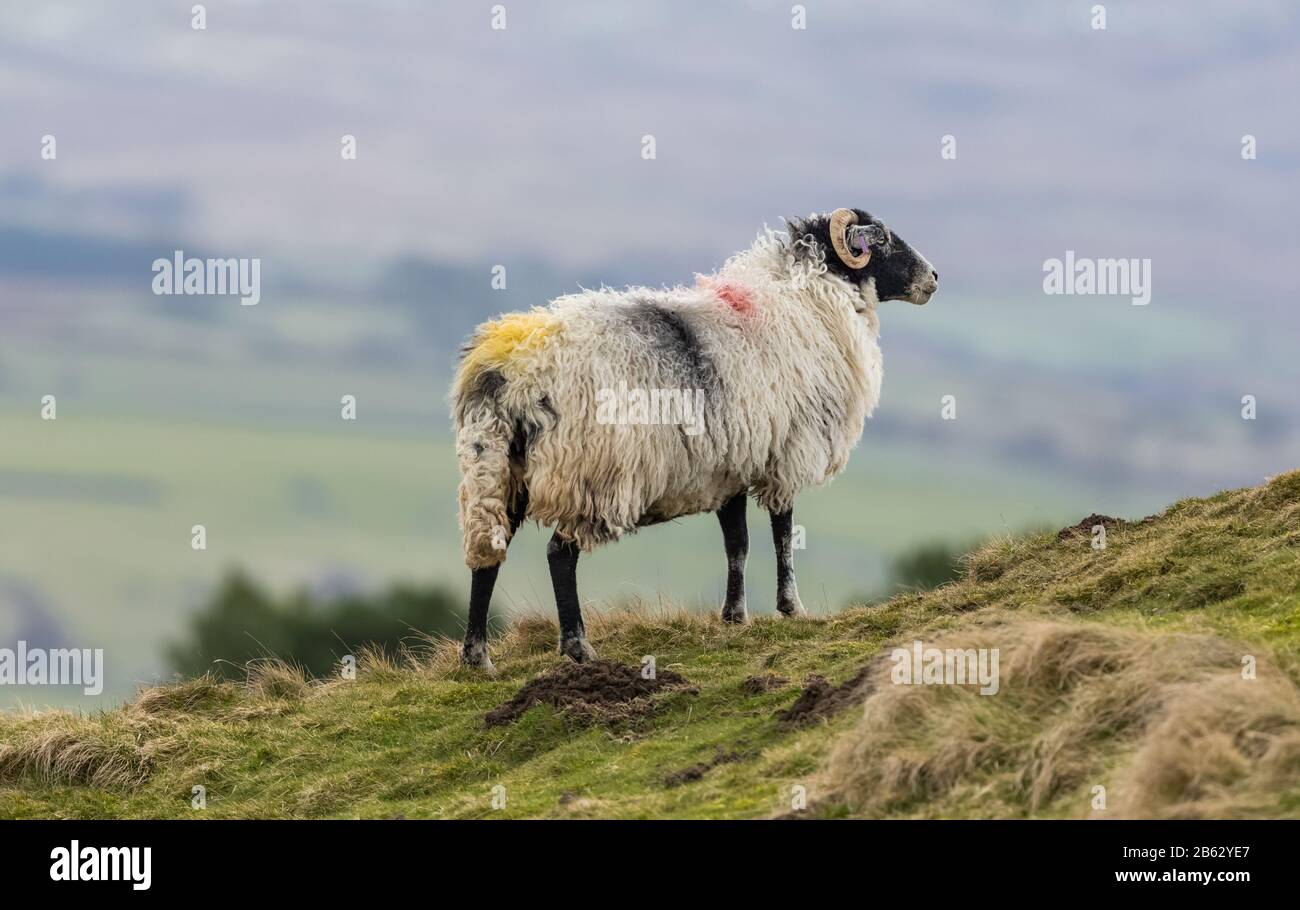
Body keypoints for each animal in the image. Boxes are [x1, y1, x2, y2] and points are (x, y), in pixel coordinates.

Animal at [452, 208, 938, 670]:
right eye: (883, 240)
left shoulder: (732, 466)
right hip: (589, 474)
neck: (806, 299)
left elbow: (737, 545)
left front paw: (735, 616)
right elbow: (782, 534)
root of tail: (512, 367)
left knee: (487, 554)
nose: (934, 278)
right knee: (559, 555)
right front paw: (791, 608)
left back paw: (478, 656)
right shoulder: (785, 454)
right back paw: (578, 647)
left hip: (494, 468)